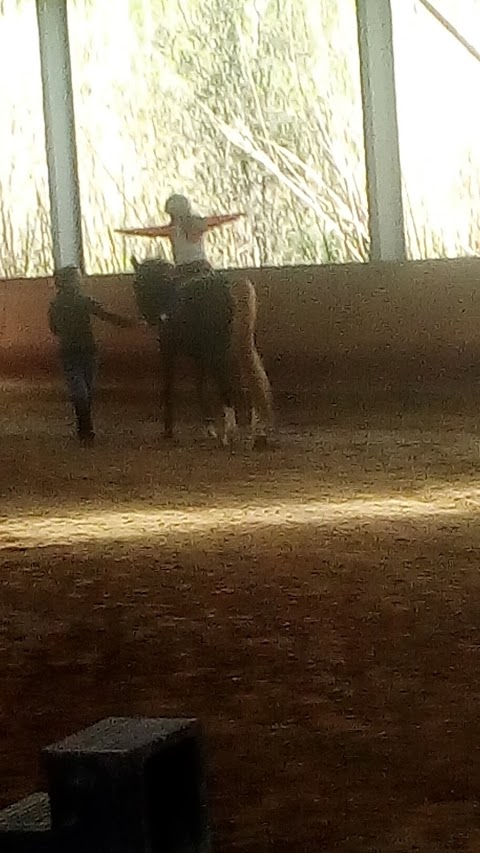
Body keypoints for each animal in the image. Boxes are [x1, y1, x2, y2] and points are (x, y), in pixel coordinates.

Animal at [131, 256, 274, 446]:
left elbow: (169, 386)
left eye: (138, 284)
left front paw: (168, 431)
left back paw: (229, 434)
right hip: (234, 349)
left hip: (219, 353)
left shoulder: (168, 351)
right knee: (247, 380)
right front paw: (209, 427)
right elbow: (200, 386)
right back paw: (255, 432)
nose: (151, 319)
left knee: (228, 384)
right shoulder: (200, 358)